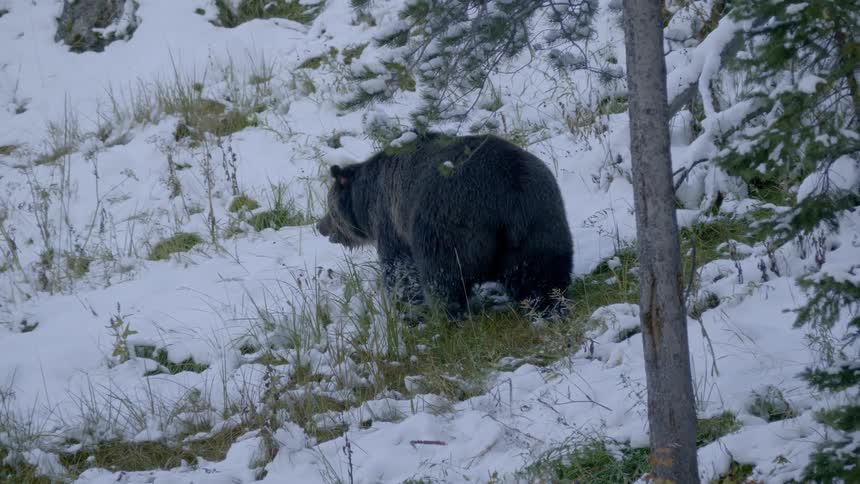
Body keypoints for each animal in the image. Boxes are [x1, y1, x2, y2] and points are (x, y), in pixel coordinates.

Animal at [316, 132, 573, 318]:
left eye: (331, 209)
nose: (320, 226)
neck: (367, 200)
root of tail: (507, 191)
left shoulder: (391, 221)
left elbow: (400, 270)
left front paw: (408, 309)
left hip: (448, 221)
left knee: (443, 276)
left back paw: (448, 315)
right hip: (540, 216)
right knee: (540, 271)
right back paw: (547, 305)